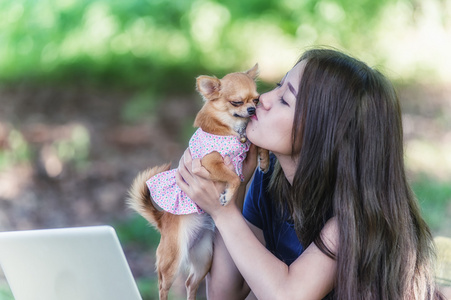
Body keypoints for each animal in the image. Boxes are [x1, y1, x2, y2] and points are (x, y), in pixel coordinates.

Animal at [127, 65, 268, 300]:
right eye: (236, 102)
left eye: (256, 100)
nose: (251, 110)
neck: (232, 129)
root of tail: (162, 220)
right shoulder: (210, 161)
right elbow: (232, 177)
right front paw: (228, 195)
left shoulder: (247, 142)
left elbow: (259, 144)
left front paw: (264, 161)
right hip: (172, 260)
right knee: (162, 285)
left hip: (204, 257)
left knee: (190, 283)